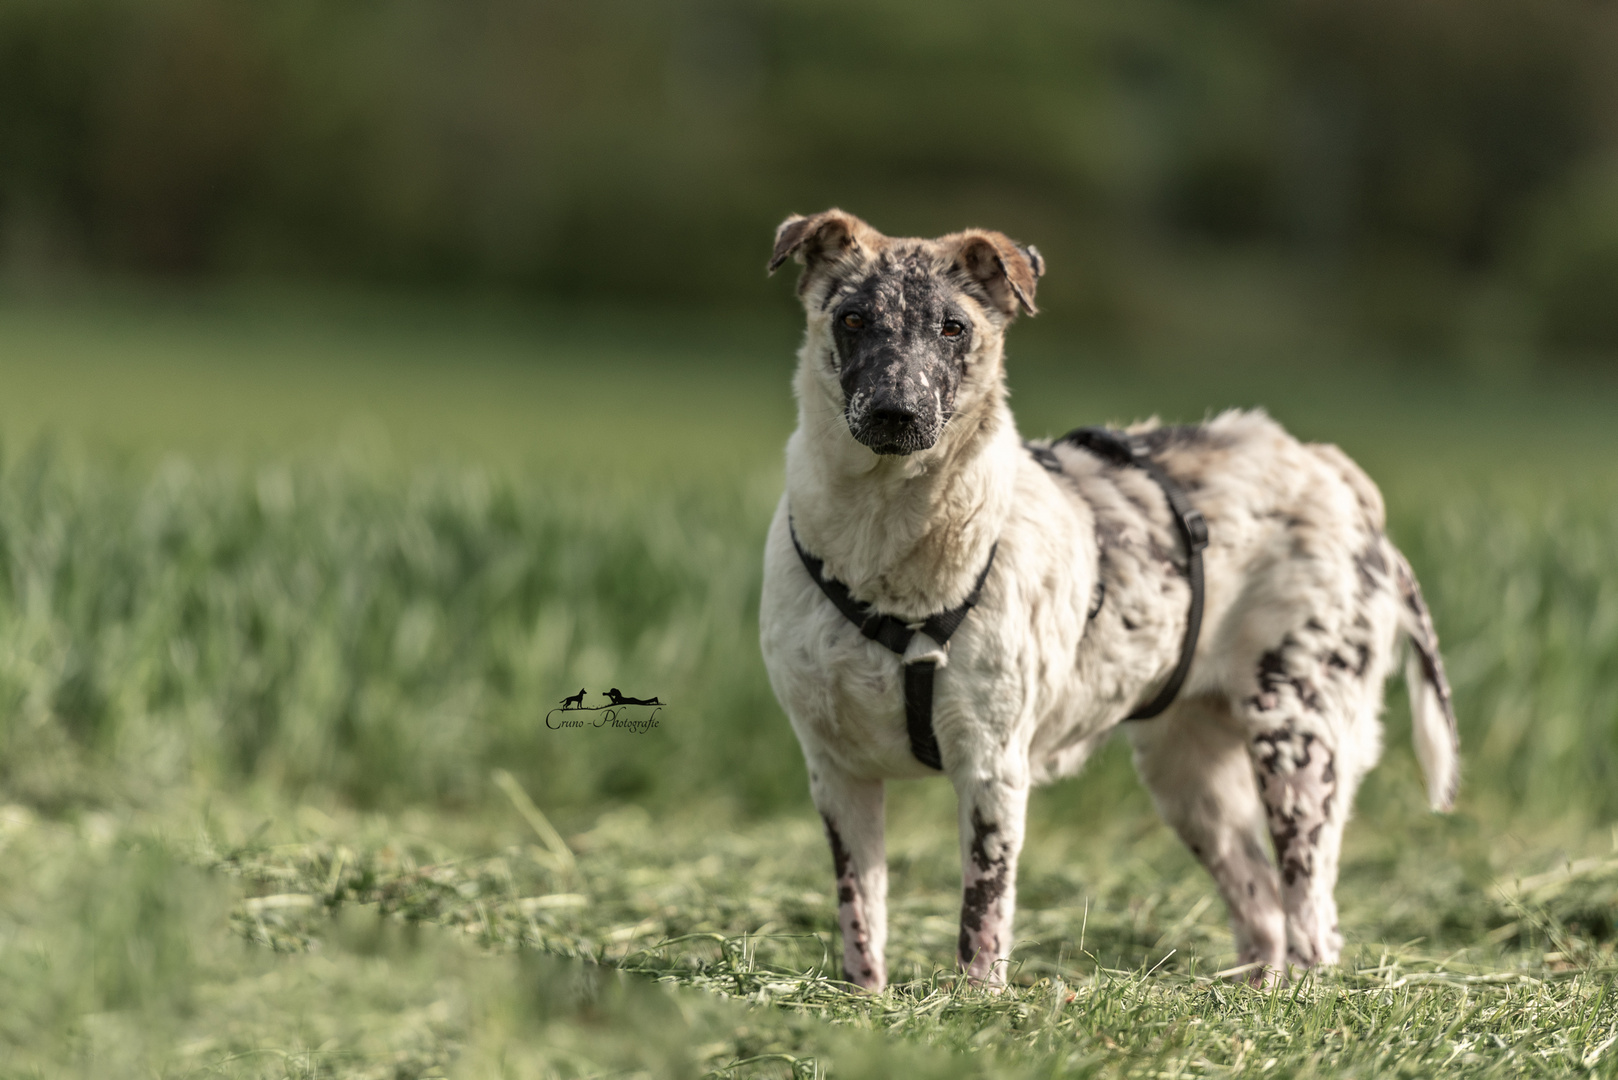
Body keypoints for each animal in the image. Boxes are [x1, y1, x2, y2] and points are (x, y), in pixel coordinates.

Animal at [750, 207, 1462, 990]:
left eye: (952, 328)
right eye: (851, 319)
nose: (895, 412)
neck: (884, 544)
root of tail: (1334, 472)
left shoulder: (992, 768)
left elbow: (981, 925)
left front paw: (975, 1002)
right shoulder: (837, 774)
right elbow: (863, 923)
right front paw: (866, 1001)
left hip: (1298, 746)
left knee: (1312, 922)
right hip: (1192, 781)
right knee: (1263, 911)